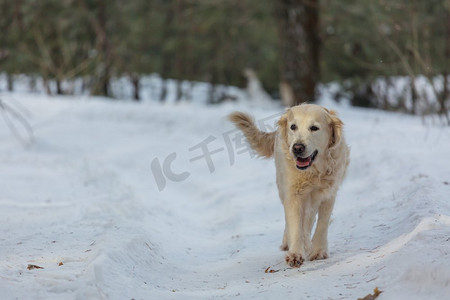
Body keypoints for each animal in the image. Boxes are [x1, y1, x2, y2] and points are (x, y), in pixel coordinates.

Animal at [230, 103, 350, 268]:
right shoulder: (293, 194)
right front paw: (296, 253)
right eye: (293, 126)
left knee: (309, 219)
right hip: (283, 187)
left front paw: (319, 251)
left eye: (314, 128)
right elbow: (295, 224)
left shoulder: (329, 193)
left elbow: (322, 223)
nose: (297, 148)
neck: (314, 171)